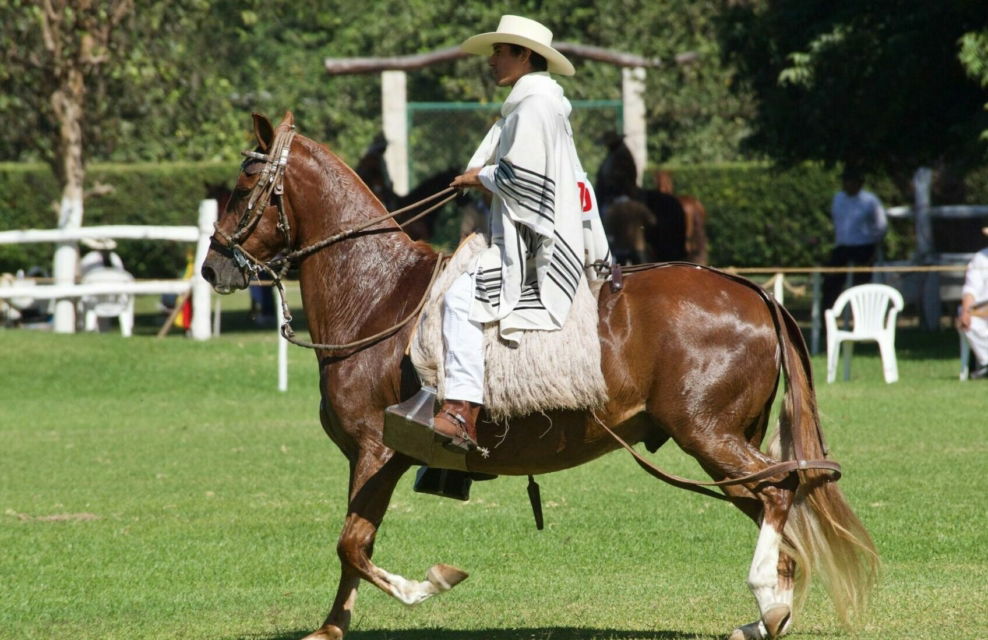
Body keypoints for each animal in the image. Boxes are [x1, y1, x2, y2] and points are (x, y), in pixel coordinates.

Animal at [201, 112, 877, 640]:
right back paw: (766, 614)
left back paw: (768, 603)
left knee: (779, 493)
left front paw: (432, 583)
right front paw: (332, 625)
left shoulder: (377, 450)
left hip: (708, 434)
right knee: (772, 501)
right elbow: (352, 545)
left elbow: (353, 543)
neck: (378, 299)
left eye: (243, 186)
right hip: (724, 442)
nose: (211, 268)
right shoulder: (368, 458)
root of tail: (756, 293)